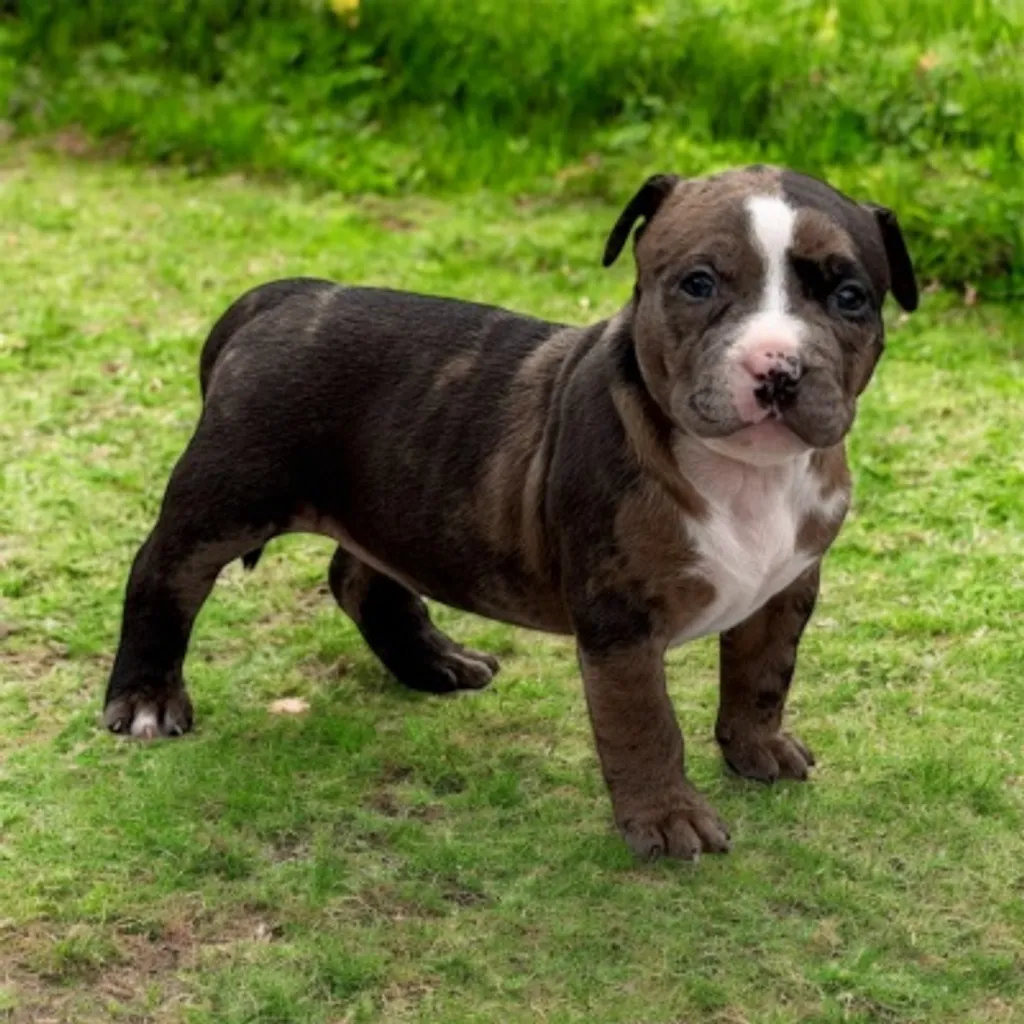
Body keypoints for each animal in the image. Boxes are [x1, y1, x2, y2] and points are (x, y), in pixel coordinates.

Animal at [103, 165, 917, 860]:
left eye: (850, 297)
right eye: (699, 283)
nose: (777, 367)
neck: (746, 474)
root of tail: (285, 295)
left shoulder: (787, 587)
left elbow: (762, 675)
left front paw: (756, 750)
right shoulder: (620, 621)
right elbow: (645, 724)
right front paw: (667, 818)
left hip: (392, 502)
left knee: (361, 577)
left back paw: (434, 662)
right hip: (225, 498)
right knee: (163, 575)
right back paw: (146, 700)